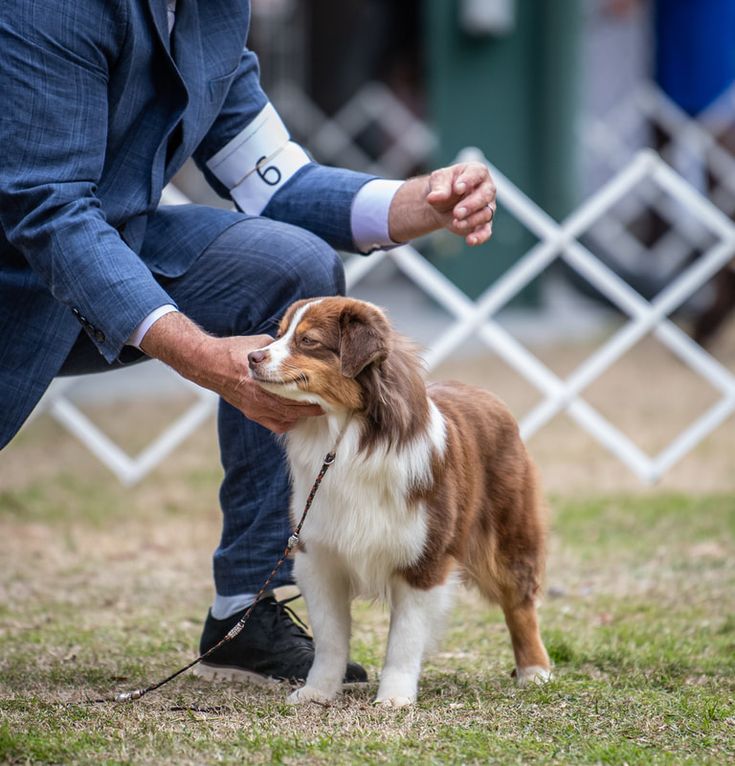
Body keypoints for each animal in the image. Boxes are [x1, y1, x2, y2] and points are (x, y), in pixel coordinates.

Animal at [249, 296, 552, 708]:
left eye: (308, 341)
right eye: (278, 334)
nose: (250, 356)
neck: (345, 437)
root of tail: (482, 392)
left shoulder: (424, 559)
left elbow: (404, 640)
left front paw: (394, 697)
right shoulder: (319, 556)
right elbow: (330, 639)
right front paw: (317, 691)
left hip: (508, 534)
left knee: (520, 602)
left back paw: (535, 670)